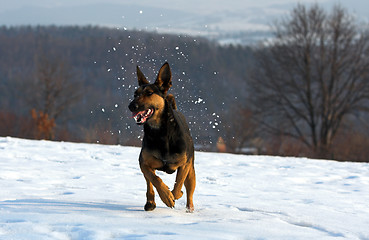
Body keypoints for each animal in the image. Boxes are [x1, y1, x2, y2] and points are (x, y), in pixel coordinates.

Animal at [127, 62, 196, 212]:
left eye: (149, 93)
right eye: (135, 94)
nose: (131, 106)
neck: (161, 133)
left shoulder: (185, 164)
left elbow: (178, 184)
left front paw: (174, 195)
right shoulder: (144, 162)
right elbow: (154, 179)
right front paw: (166, 196)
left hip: (191, 170)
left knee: (190, 190)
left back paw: (189, 208)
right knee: (149, 182)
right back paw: (150, 202)